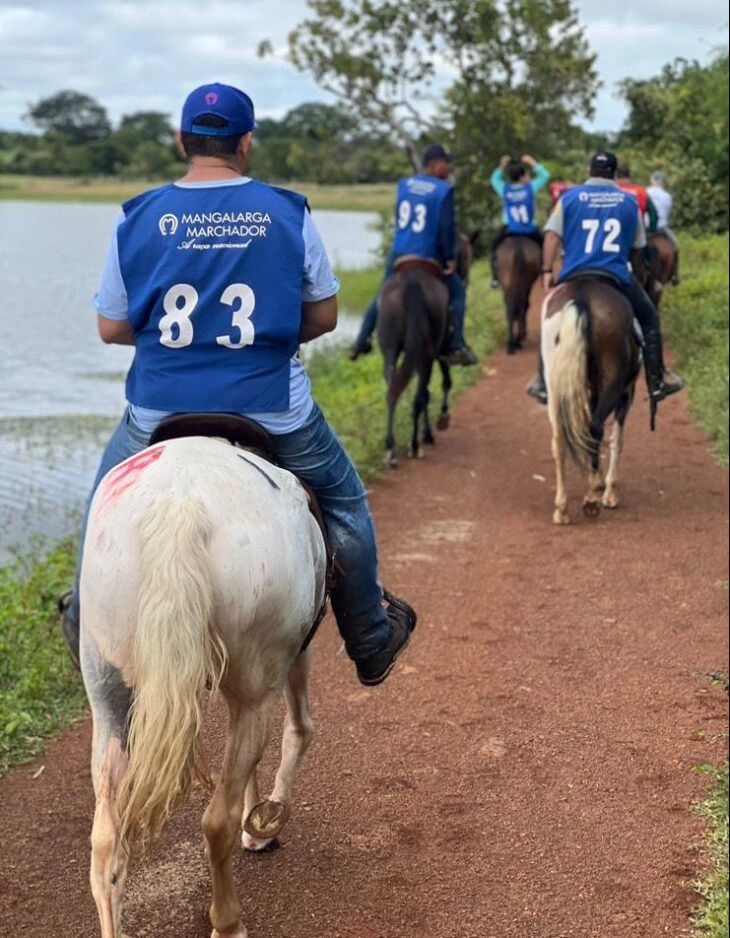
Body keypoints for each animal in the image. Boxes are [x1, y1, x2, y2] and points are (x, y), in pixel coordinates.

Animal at [79, 436, 324, 936]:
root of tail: (180, 505)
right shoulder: (294, 655)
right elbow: (299, 730)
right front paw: (263, 825)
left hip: (108, 688)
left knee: (106, 844)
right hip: (259, 675)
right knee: (217, 822)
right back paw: (229, 921)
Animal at [536, 276, 640, 528]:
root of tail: (581, 298)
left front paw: (600, 481)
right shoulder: (626, 392)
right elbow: (616, 440)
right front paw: (609, 491)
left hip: (555, 384)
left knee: (559, 440)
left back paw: (562, 509)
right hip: (613, 382)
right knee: (595, 429)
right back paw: (592, 497)